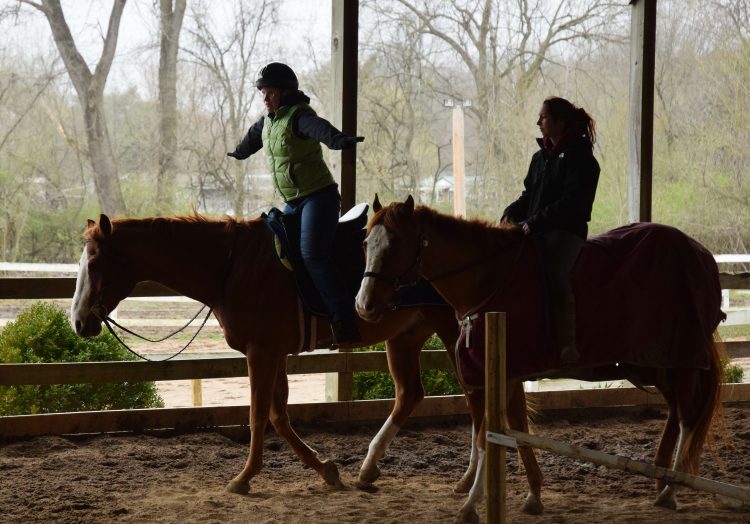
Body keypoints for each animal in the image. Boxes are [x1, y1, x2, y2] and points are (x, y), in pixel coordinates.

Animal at [69, 212, 540, 508]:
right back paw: (370, 469)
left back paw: (468, 480)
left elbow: (259, 415)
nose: (78, 322)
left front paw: (244, 478)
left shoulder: (261, 352)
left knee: (478, 403)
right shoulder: (274, 354)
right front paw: (327, 470)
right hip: (405, 337)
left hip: (455, 333)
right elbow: (279, 415)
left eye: (95, 261)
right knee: (412, 395)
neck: (232, 266)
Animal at [358, 195, 728, 520]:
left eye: (394, 244)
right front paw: (533, 493)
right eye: (365, 244)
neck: (488, 277)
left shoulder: (503, 373)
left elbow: (488, 434)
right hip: (657, 366)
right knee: (678, 413)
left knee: (688, 418)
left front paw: (472, 504)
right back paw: (663, 481)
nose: (364, 305)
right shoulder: (504, 374)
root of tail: (702, 255)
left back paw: (670, 490)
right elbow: (512, 429)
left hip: (680, 362)